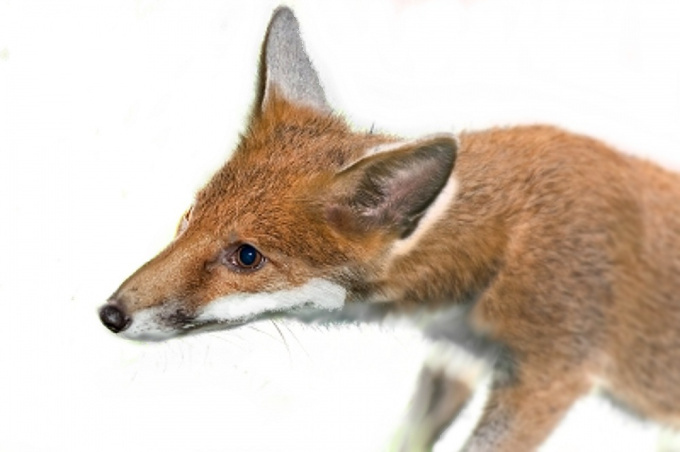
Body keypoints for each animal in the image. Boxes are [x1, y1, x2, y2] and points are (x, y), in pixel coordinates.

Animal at [99, 6, 680, 452]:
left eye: (246, 256)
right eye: (190, 217)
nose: (110, 314)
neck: (504, 246)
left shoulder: (546, 378)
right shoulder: (457, 359)